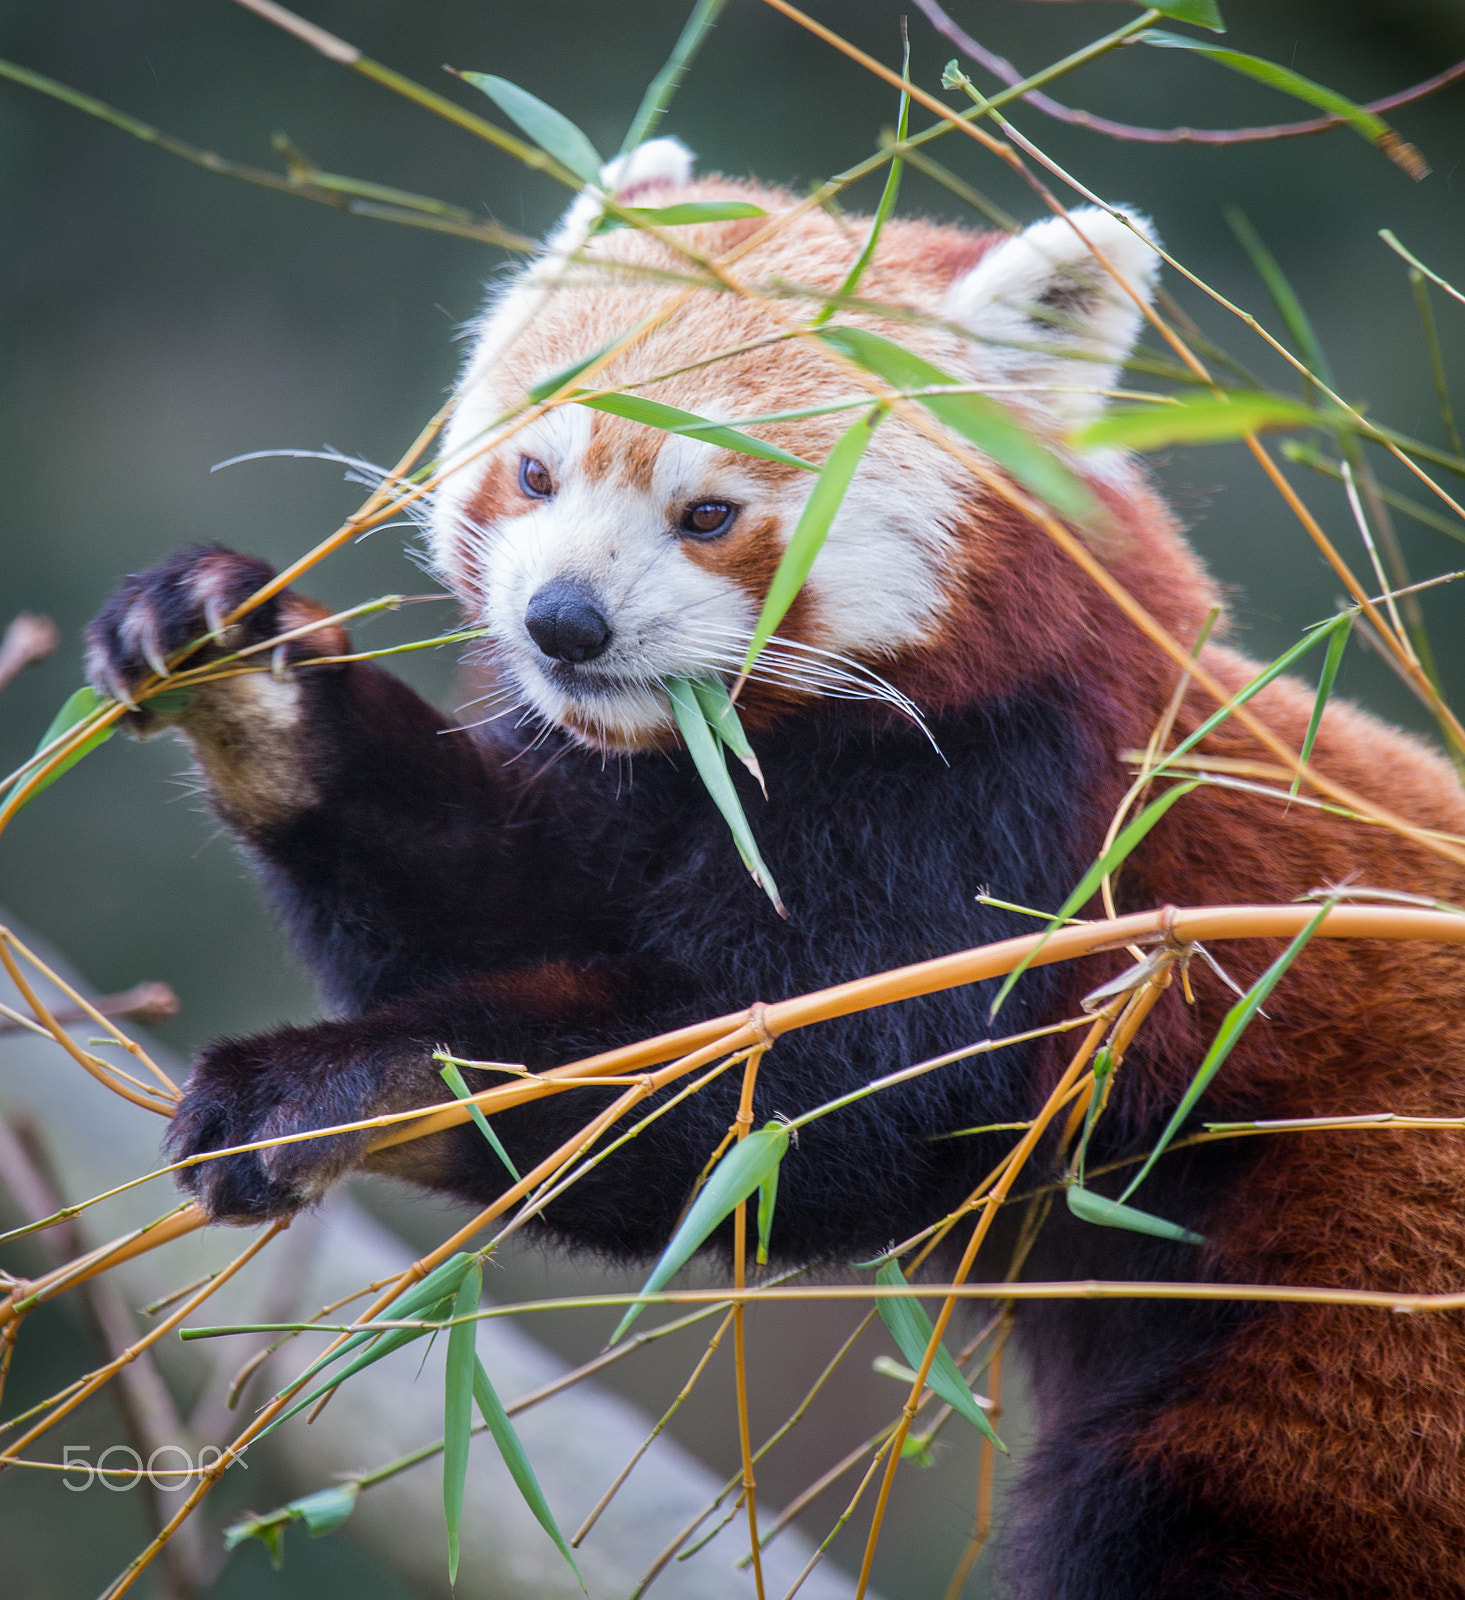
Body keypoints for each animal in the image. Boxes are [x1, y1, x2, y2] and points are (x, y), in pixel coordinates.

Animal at [85, 140, 1465, 1598]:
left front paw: (329, 1085)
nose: (563, 622)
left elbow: (814, 1103)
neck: (752, 747)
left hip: (1353, 1280)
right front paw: (250, 678)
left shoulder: (1008, 811)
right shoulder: (631, 784)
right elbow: (487, 906)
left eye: (708, 513)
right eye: (533, 473)